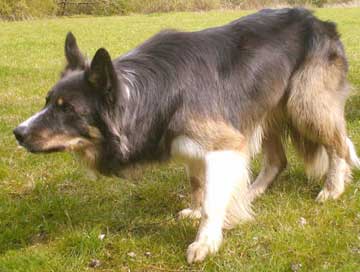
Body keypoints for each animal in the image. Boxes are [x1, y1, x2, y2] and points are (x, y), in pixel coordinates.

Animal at [14, 8, 360, 264]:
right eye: (47, 102)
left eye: (68, 109)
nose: (18, 133)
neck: (152, 94)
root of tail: (320, 21)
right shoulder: (193, 147)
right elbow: (197, 184)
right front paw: (197, 210)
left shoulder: (223, 143)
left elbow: (211, 201)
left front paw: (205, 241)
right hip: (264, 108)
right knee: (279, 159)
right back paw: (250, 194)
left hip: (304, 103)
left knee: (338, 144)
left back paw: (333, 187)